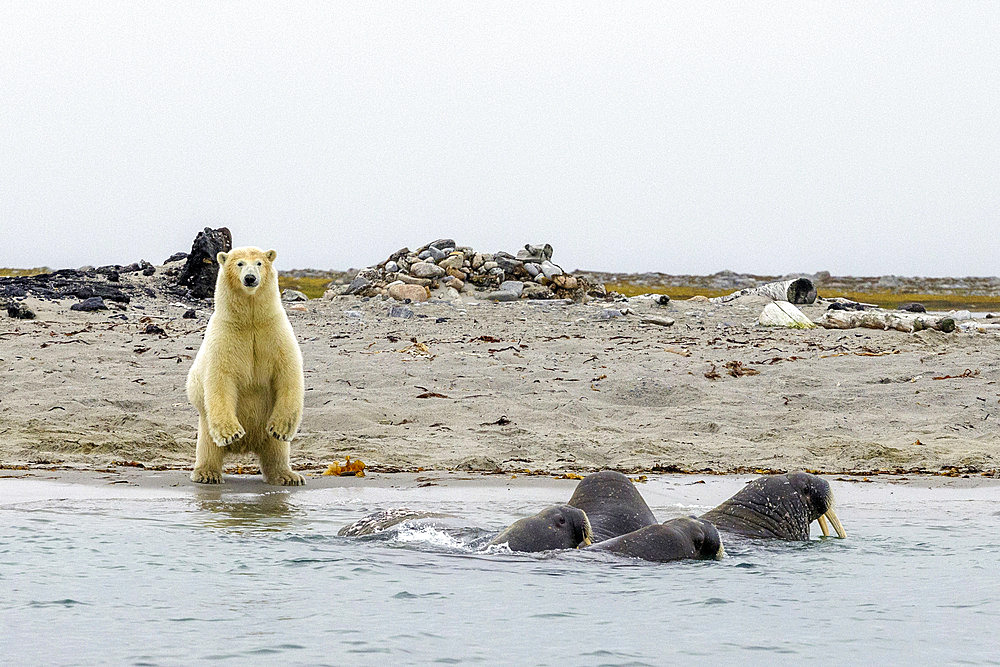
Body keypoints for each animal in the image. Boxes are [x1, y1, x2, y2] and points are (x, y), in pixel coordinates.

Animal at [187, 248, 304, 488]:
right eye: (239, 263)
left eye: (259, 263)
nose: (250, 278)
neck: (250, 321)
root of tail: (248, 446)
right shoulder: (224, 339)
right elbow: (220, 380)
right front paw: (231, 433)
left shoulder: (276, 332)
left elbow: (288, 373)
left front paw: (281, 429)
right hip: (206, 424)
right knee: (208, 447)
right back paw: (207, 473)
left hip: (266, 428)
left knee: (277, 449)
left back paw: (287, 476)